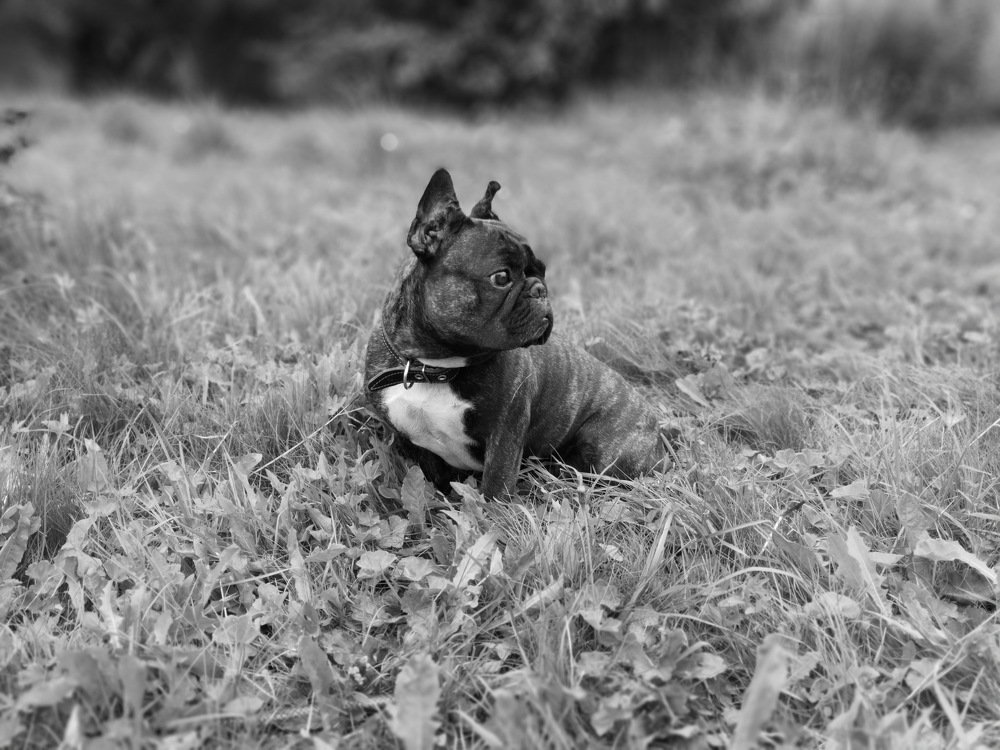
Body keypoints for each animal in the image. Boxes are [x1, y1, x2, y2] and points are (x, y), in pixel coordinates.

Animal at [365, 168, 669, 498]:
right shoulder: (413, 443)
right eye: (501, 277)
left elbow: (495, 485)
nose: (540, 289)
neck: (435, 367)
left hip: (605, 452)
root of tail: (656, 426)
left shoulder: (505, 434)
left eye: (542, 271)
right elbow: (430, 481)